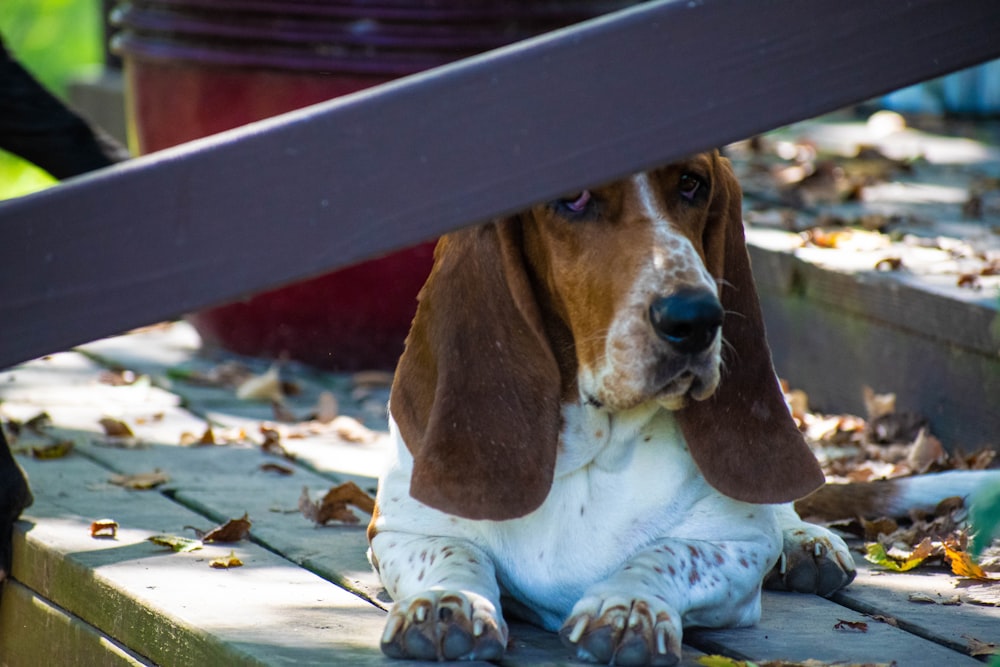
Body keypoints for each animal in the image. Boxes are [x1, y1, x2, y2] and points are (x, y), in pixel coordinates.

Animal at [366, 154, 852, 664]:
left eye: (691, 184)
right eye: (573, 198)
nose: (697, 318)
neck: (593, 450)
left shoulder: (736, 543)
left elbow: (667, 555)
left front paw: (629, 608)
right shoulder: (402, 529)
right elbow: (453, 553)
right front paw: (447, 603)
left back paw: (807, 542)